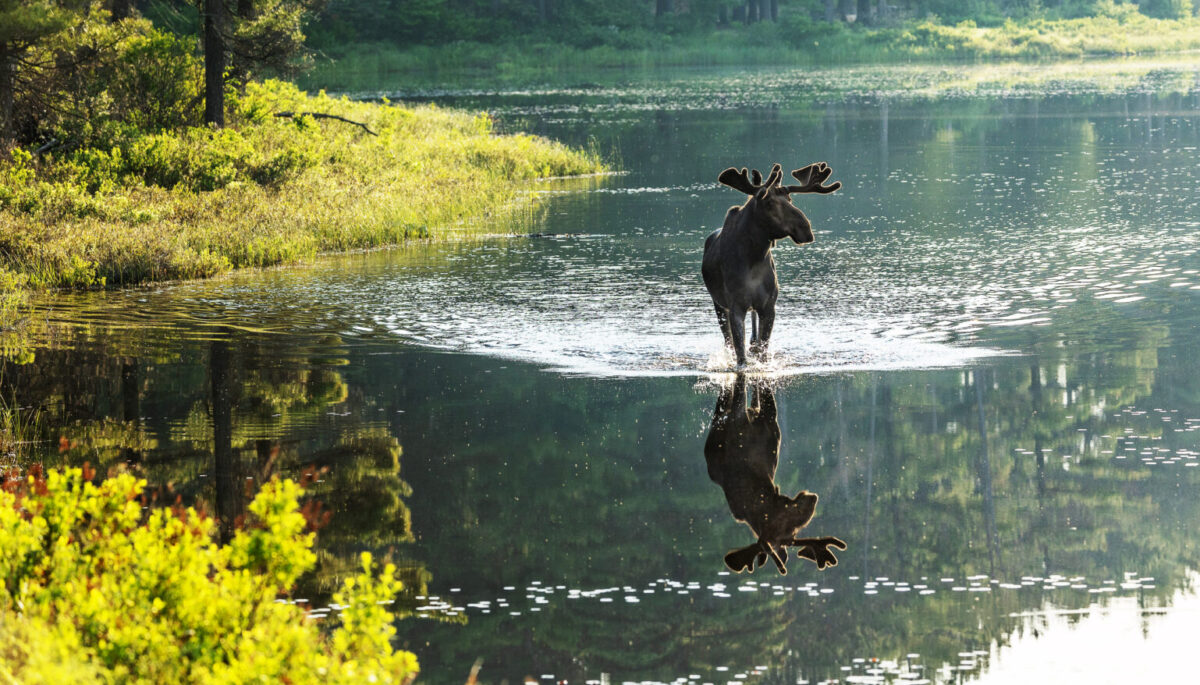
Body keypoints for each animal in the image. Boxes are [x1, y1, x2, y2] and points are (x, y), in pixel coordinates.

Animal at [702, 162, 841, 368]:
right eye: (769, 203)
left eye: (790, 198)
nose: (806, 228)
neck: (754, 257)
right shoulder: (735, 307)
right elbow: (740, 356)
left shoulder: (768, 306)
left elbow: (763, 351)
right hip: (718, 305)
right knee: (728, 341)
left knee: (753, 339)